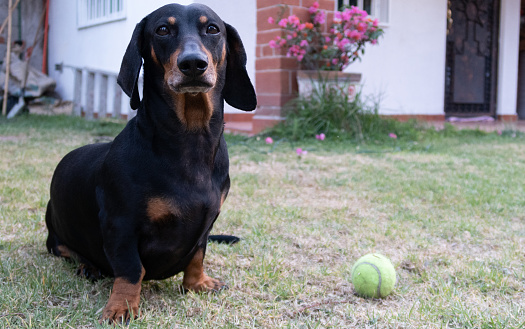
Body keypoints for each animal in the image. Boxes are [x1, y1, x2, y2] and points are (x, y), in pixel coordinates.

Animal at [46, 3, 255, 322]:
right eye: (162, 30)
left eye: (212, 29)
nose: (192, 64)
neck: (189, 139)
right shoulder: (120, 224)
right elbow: (131, 269)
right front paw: (121, 306)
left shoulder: (207, 223)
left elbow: (197, 254)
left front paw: (198, 283)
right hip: (54, 232)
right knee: (64, 249)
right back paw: (87, 266)